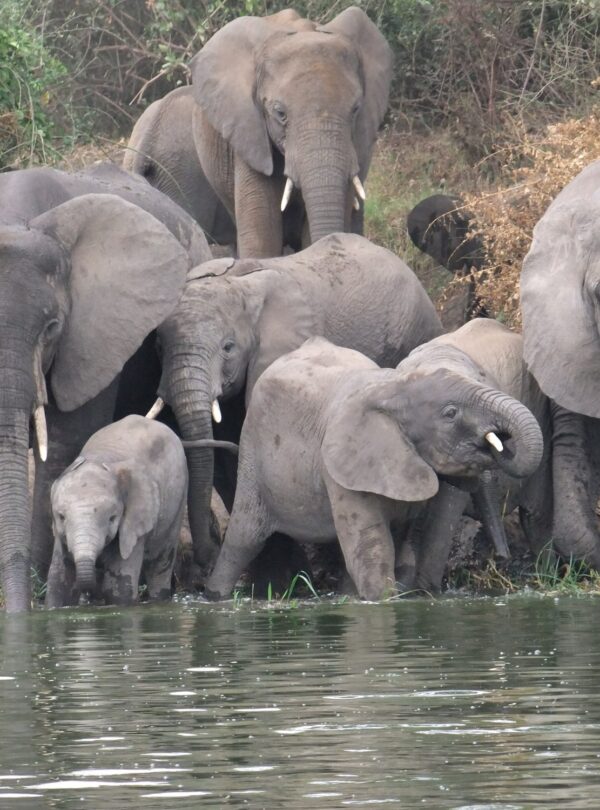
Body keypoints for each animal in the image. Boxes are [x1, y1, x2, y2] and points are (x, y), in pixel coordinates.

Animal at [46, 415, 188, 607]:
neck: (99, 459)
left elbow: (119, 587)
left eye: (112, 518)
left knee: (160, 565)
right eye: (61, 517)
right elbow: (58, 582)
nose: (87, 593)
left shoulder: (133, 523)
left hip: (179, 499)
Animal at [204, 334, 543, 602]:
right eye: (450, 413)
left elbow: (405, 548)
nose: (503, 558)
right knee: (244, 537)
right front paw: (381, 600)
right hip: (253, 451)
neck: (394, 388)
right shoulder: (342, 464)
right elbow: (374, 549)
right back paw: (215, 596)